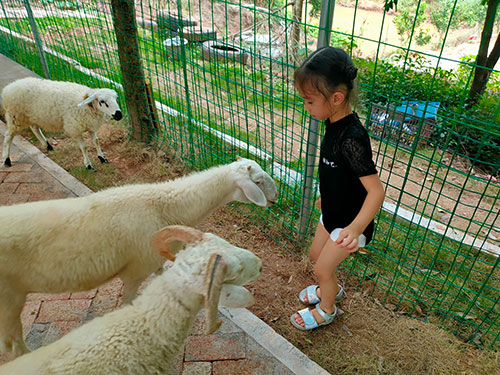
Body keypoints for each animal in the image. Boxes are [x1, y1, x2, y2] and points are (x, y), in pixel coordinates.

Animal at [0, 156, 276, 358]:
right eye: (259, 181)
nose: (275, 199)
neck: (164, 205)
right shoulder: (136, 270)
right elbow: (129, 303)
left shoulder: (158, 261)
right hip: (9, 300)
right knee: (13, 345)